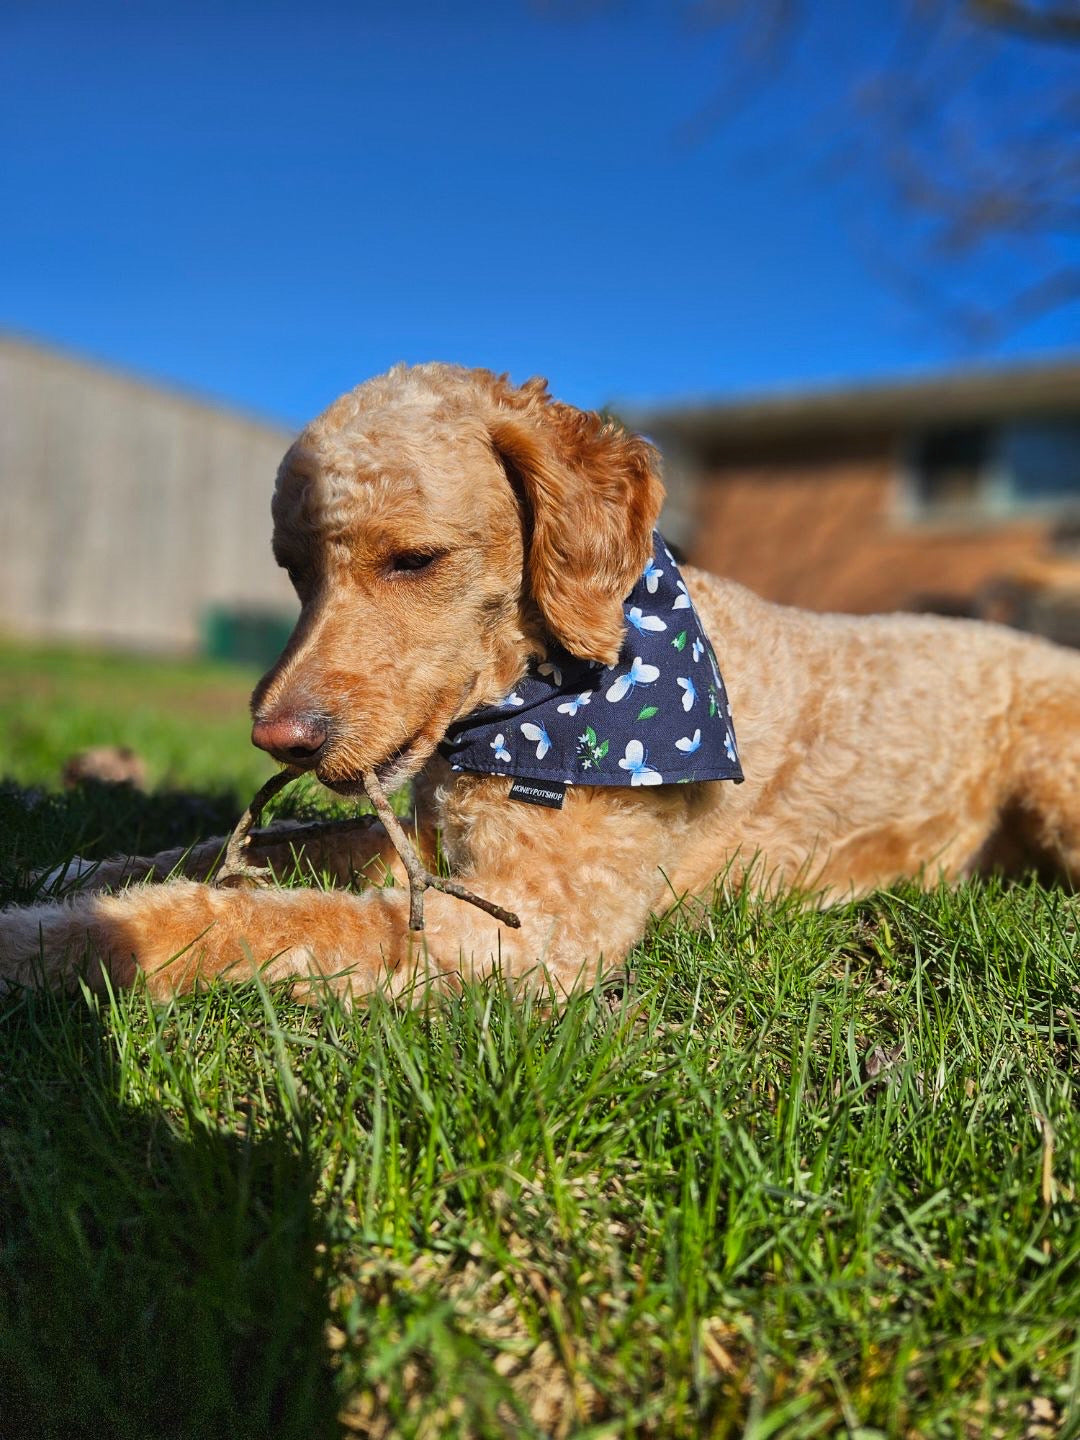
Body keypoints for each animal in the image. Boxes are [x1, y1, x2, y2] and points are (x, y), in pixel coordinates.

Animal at [2, 362, 1080, 1002]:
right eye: (293, 570)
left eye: (414, 560)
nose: (280, 739)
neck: (542, 691)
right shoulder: (430, 839)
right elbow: (265, 845)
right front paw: (74, 872)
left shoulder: (537, 924)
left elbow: (256, 918)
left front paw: (58, 940)